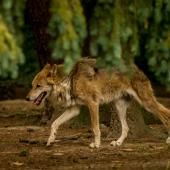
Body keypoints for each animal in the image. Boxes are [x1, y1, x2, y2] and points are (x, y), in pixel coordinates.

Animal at [26, 58, 170, 147]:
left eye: (38, 86)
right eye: (32, 85)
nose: (27, 98)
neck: (69, 79)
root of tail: (136, 68)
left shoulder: (93, 104)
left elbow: (95, 128)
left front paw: (96, 144)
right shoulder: (74, 109)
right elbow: (54, 124)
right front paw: (51, 140)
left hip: (147, 103)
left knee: (165, 114)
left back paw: (168, 139)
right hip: (119, 107)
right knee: (126, 128)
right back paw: (117, 143)